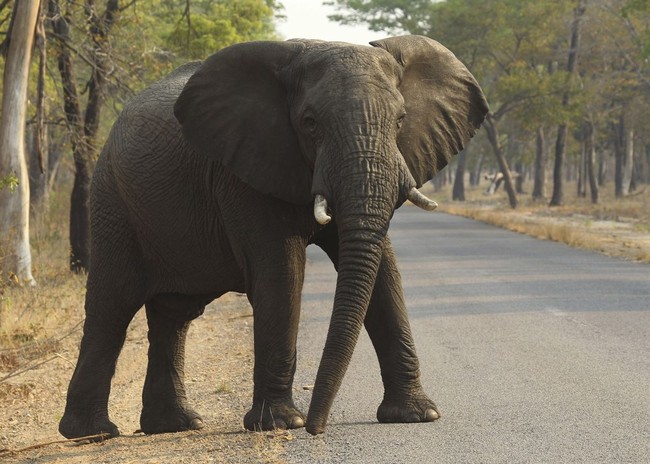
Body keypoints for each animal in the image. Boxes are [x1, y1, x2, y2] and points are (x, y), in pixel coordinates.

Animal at [58, 35, 488, 439]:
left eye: (400, 120)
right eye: (310, 122)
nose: (318, 427)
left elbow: (384, 271)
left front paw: (417, 415)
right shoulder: (244, 170)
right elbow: (282, 272)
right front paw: (281, 424)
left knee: (173, 315)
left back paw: (176, 425)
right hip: (112, 200)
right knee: (112, 306)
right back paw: (92, 433)